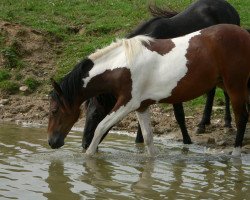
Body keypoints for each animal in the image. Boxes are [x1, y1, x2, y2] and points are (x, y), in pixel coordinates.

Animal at [48, 23, 250, 156]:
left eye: (54, 110)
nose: (51, 142)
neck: (122, 65)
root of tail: (244, 34)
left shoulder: (127, 104)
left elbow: (100, 128)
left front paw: (88, 158)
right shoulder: (141, 106)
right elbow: (148, 138)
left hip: (235, 87)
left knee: (241, 119)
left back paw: (235, 156)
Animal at [82, 0, 240, 149]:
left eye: (96, 114)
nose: (84, 144)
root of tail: (229, 7)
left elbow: (179, 115)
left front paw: (187, 141)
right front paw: (139, 141)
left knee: (225, 93)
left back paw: (227, 123)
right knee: (211, 92)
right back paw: (203, 123)